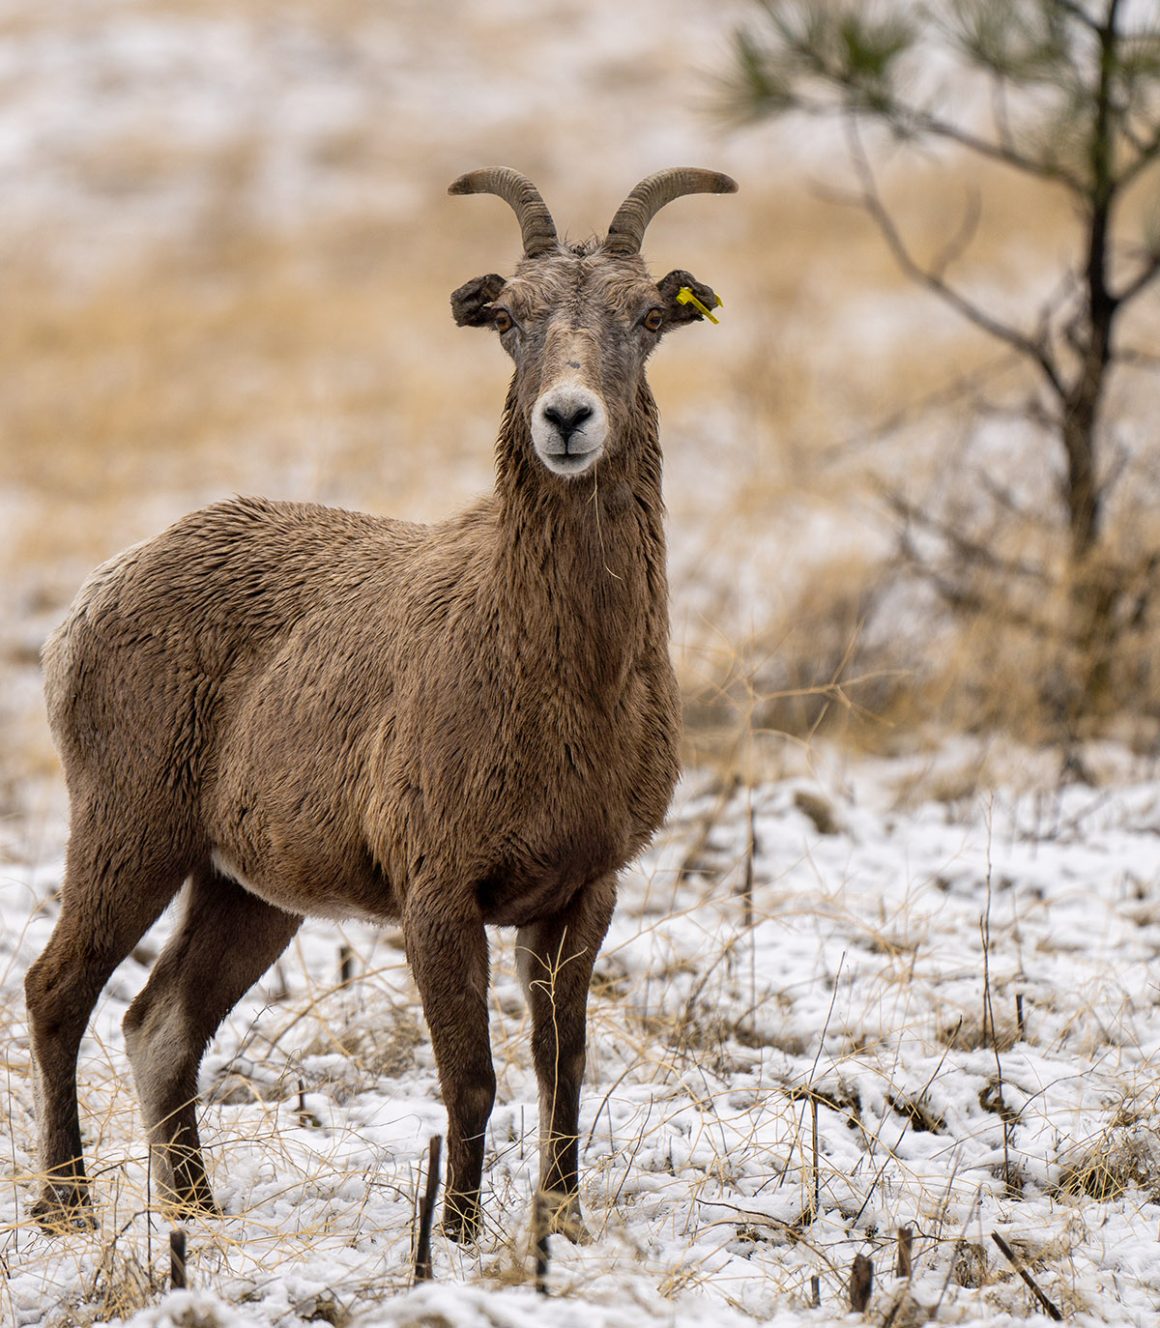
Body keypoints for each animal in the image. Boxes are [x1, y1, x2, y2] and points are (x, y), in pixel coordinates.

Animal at [24, 166, 737, 1243]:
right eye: (510, 319)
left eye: (647, 316)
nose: (568, 419)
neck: (564, 687)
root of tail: (85, 608)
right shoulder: (436, 889)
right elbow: (472, 1079)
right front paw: (456, 1236)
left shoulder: (584, 890)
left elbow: (561, 1068)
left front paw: (559, 1226)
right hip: (129, 832)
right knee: (57, 990)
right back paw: (67, 1206)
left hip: (242, 889)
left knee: (159, 1021)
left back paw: (196, 1207)